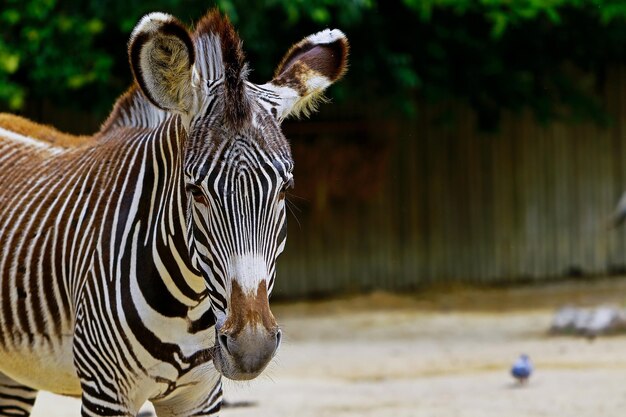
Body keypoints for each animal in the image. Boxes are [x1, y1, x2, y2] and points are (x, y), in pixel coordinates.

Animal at [0, 9, 346, 416]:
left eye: (285, 189)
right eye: (194, 191)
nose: (251, 349)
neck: (188, 307)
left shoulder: (199, 396)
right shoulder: (105, 393)